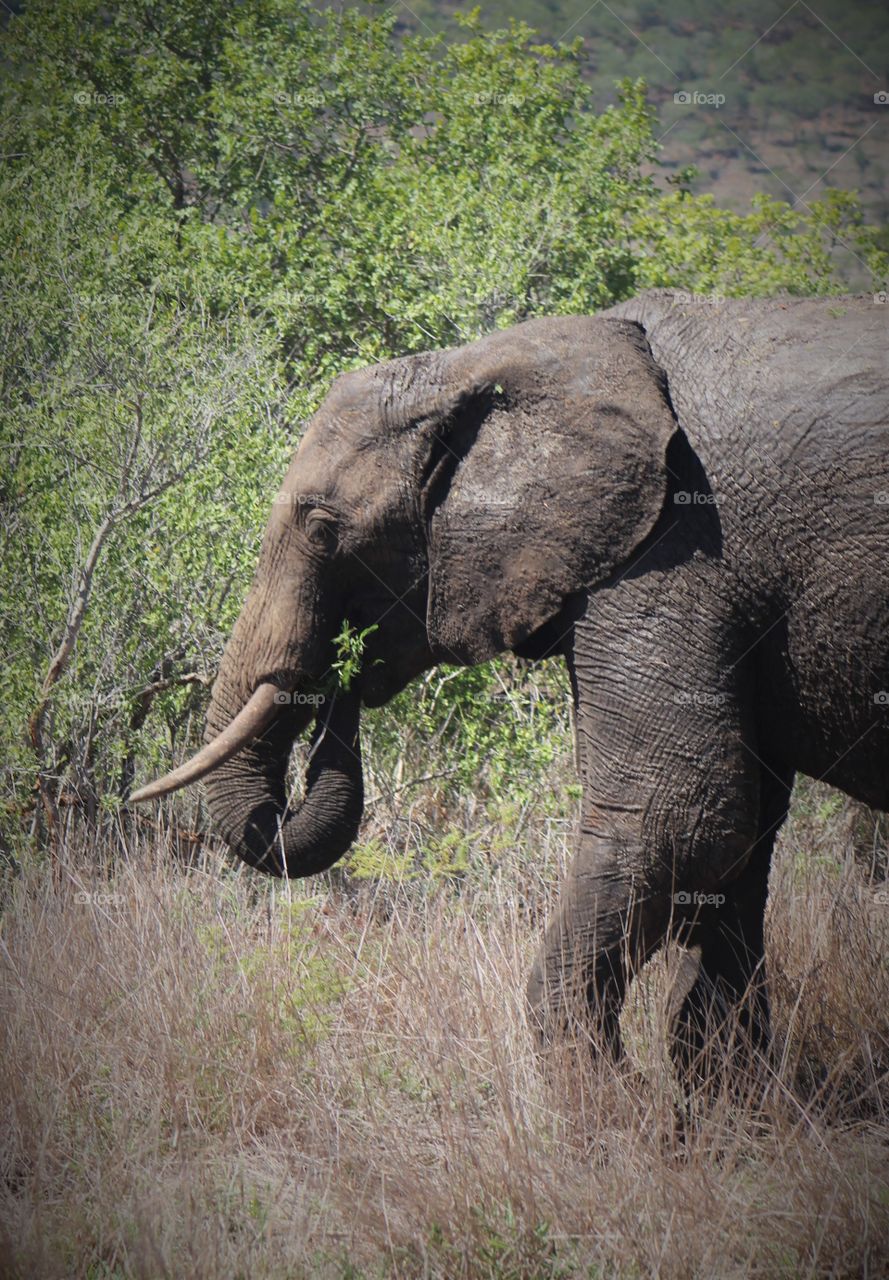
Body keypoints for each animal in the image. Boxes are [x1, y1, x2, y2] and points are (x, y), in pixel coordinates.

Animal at [132, 289, 889, 1073]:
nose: (345, 661)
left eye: (320, 528)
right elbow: (736, 846)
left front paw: (596, 1099)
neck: (486, 359)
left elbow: (679, 813)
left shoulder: (675, 548)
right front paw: (711, 1101)